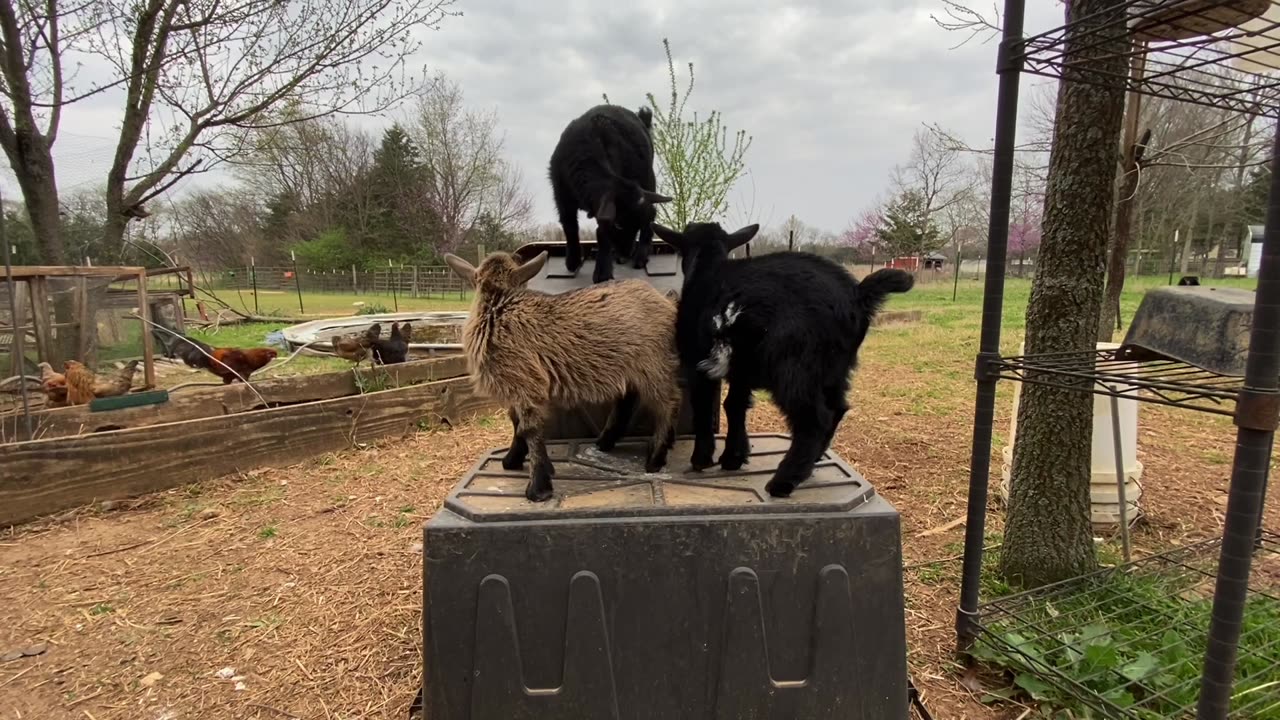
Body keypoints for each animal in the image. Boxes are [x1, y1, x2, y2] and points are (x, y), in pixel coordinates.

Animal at [442, 248, 680, 499]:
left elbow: (528, 428)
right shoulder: (517, 387)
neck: (498, 306)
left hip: (653, 364)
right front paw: (516, 460)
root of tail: (666, 300)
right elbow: (517, 423)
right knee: (628, 400)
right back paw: (607, 441)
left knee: (668, 403)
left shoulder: (526, 383)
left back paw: (656, 457)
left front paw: (538, 486)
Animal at [547, 103, 675, 283]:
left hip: (648, 178)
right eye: (619, 224)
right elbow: (569, 225)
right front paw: (572, 261)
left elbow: (602, 231)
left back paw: (640, 256)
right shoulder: (561, 194)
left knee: (652, 211)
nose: (625, 255)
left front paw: (603, 272)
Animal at [655, 221, 916, 497]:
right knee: (837, 408)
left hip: (794, 366)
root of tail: (857, 295)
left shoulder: (698, 363)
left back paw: (784, 481)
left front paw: (701, 459)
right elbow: (734, 405)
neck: (706, 269)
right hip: (836, 367)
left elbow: (704, 408)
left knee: (814, 419)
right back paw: (812, 461)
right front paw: (733, 458)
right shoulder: (741, 368)